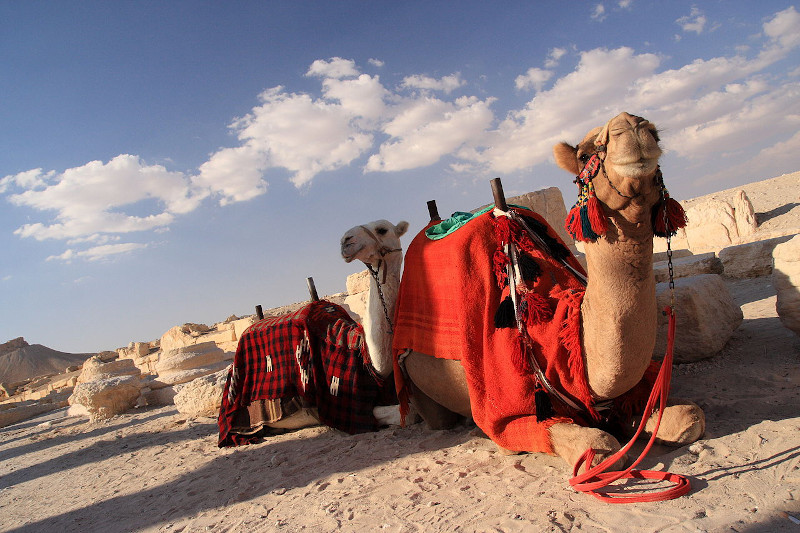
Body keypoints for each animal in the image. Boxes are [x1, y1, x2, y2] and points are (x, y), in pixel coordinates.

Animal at [394, 112, 705, 471]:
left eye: (656, 132)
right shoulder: (514, 409)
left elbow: (689, 417)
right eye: (583, 155)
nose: (631, 125)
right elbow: (598, 446)